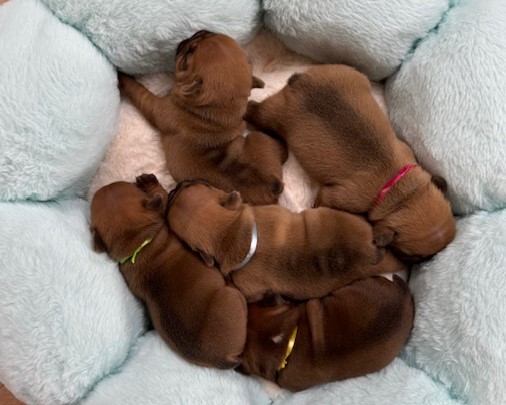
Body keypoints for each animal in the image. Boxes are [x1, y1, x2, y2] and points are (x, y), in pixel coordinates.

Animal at [90, 174, 247, 369]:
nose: (104, 186)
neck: (137, 243)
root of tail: (222, 360)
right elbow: (164, 196)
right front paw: (150, 183)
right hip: (233, 296)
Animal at [118, 30, 287, 205]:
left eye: (188, 57)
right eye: (210, 33)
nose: (199, 32)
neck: (217, 110)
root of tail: (273, 187)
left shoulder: (157, 108)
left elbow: (137, 91)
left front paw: (123, 77)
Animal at [245, 64, 456, 260]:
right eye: (411, 255)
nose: (426, 261)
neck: (401, 191)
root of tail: (299, 81)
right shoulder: (340, 197)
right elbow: (324, 201)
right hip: (273, 113)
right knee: (255, 110)